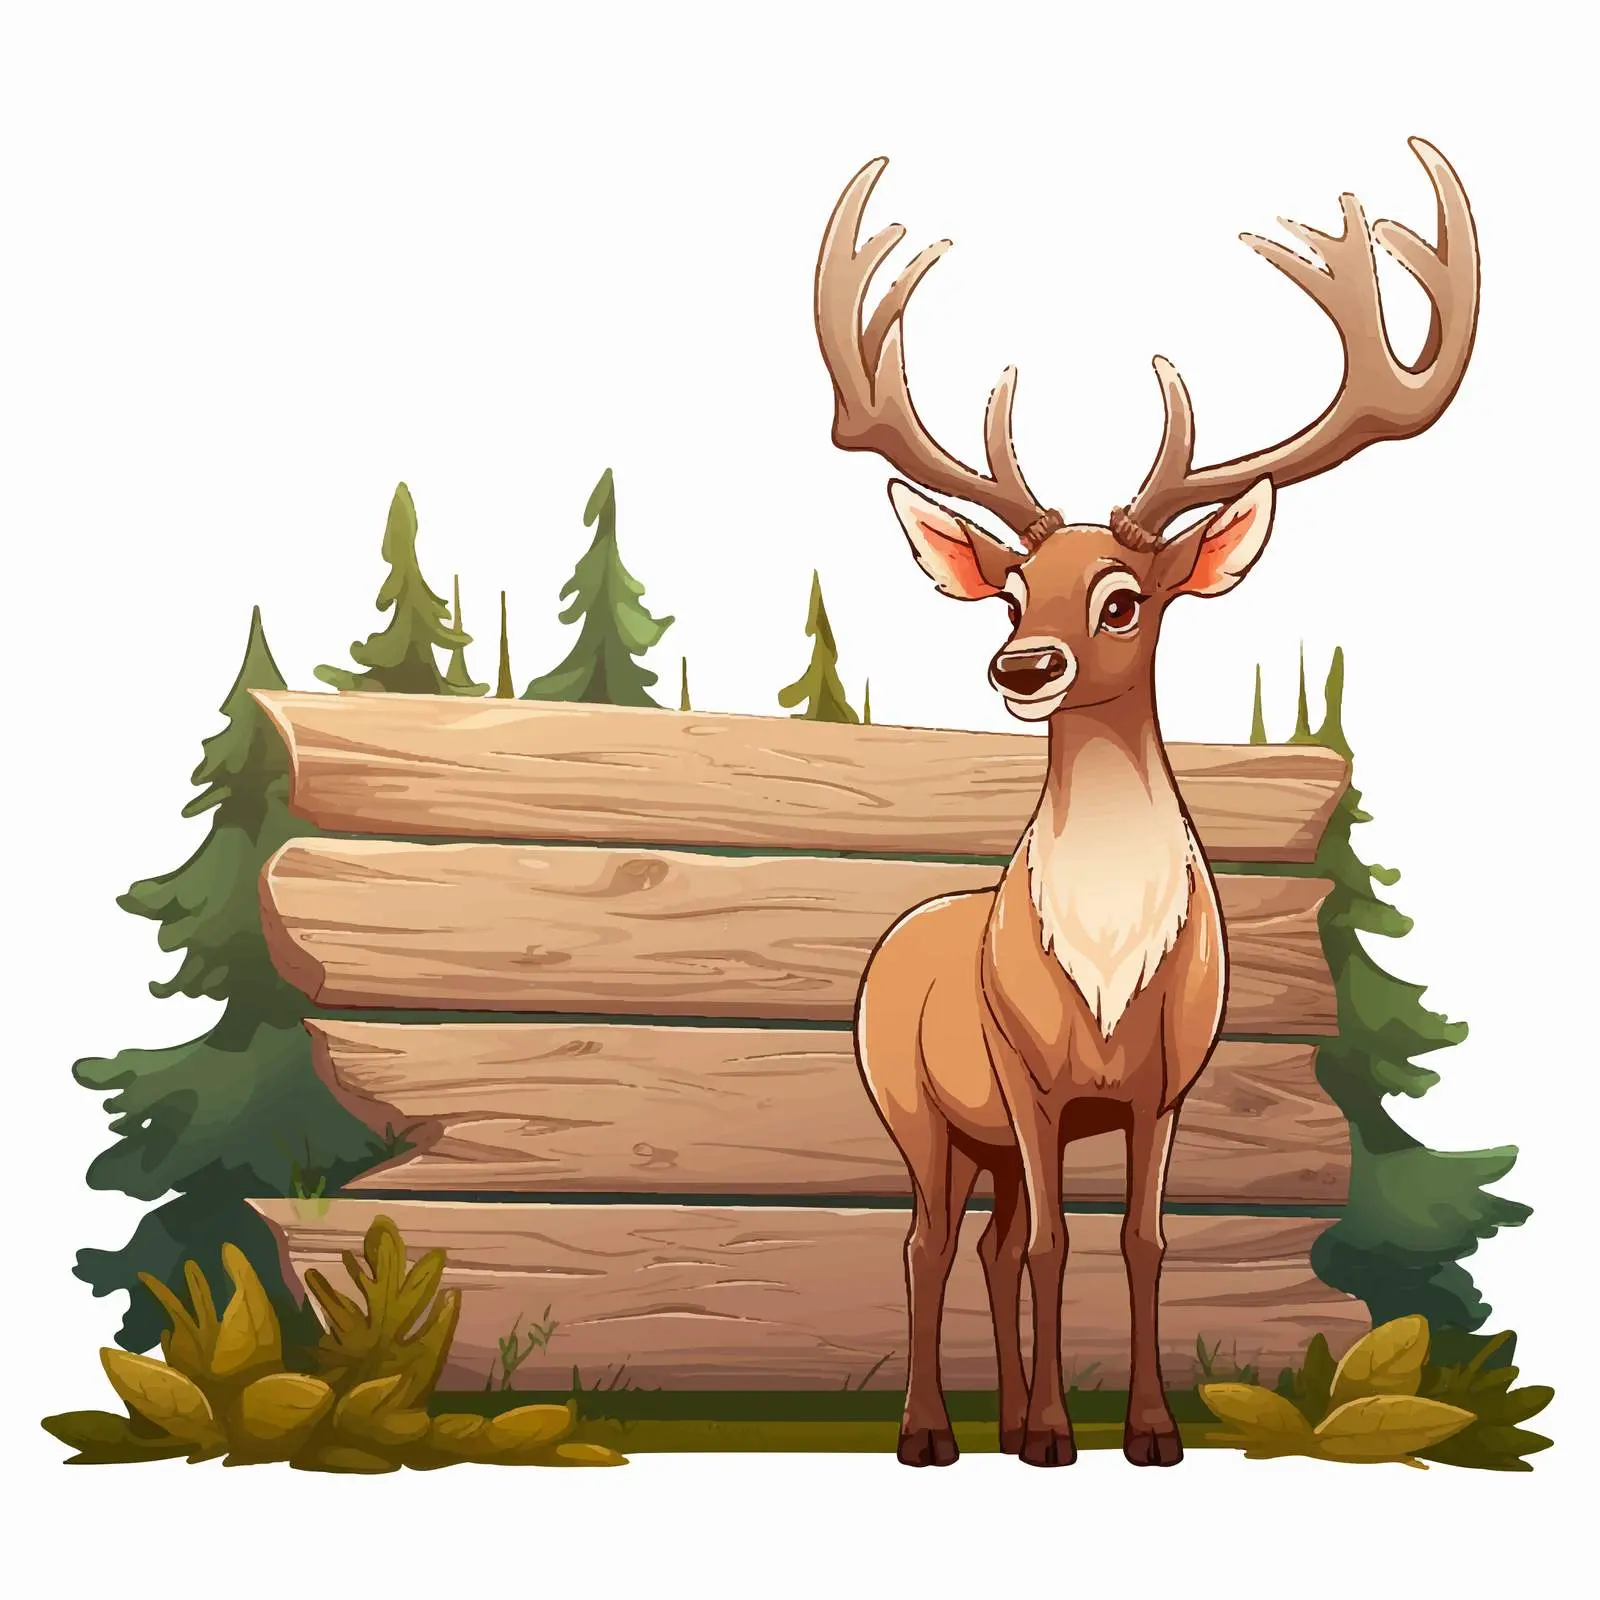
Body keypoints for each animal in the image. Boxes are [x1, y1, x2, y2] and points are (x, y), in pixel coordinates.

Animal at [814, 139, 1478, 1469]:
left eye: (1123, 597)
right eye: (1011, 591)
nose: (1022, 666)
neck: (1108, 970)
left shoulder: (1164, 1083)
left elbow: (1138, 1238)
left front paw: (1147, 1431)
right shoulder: (1023, 1072)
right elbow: (1058, 1240)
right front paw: (1057, 1435)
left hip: (990, 1137)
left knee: (987, 1239)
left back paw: (1004, 1416)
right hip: (914, 1104)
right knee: (926, 1238)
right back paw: (931, 1431)